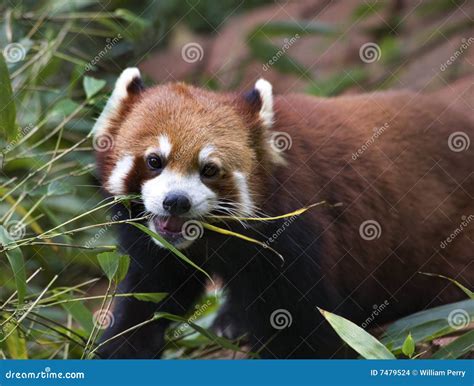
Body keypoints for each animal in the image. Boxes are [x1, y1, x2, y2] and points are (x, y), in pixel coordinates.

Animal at [94, 67, 472, 358]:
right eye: (154, 161)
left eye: (209, 170)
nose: (176, 201)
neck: (210, 241)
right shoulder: (157, 247)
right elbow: (149, 294)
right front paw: (121, 346)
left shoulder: (293, 230)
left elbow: (299, 321)